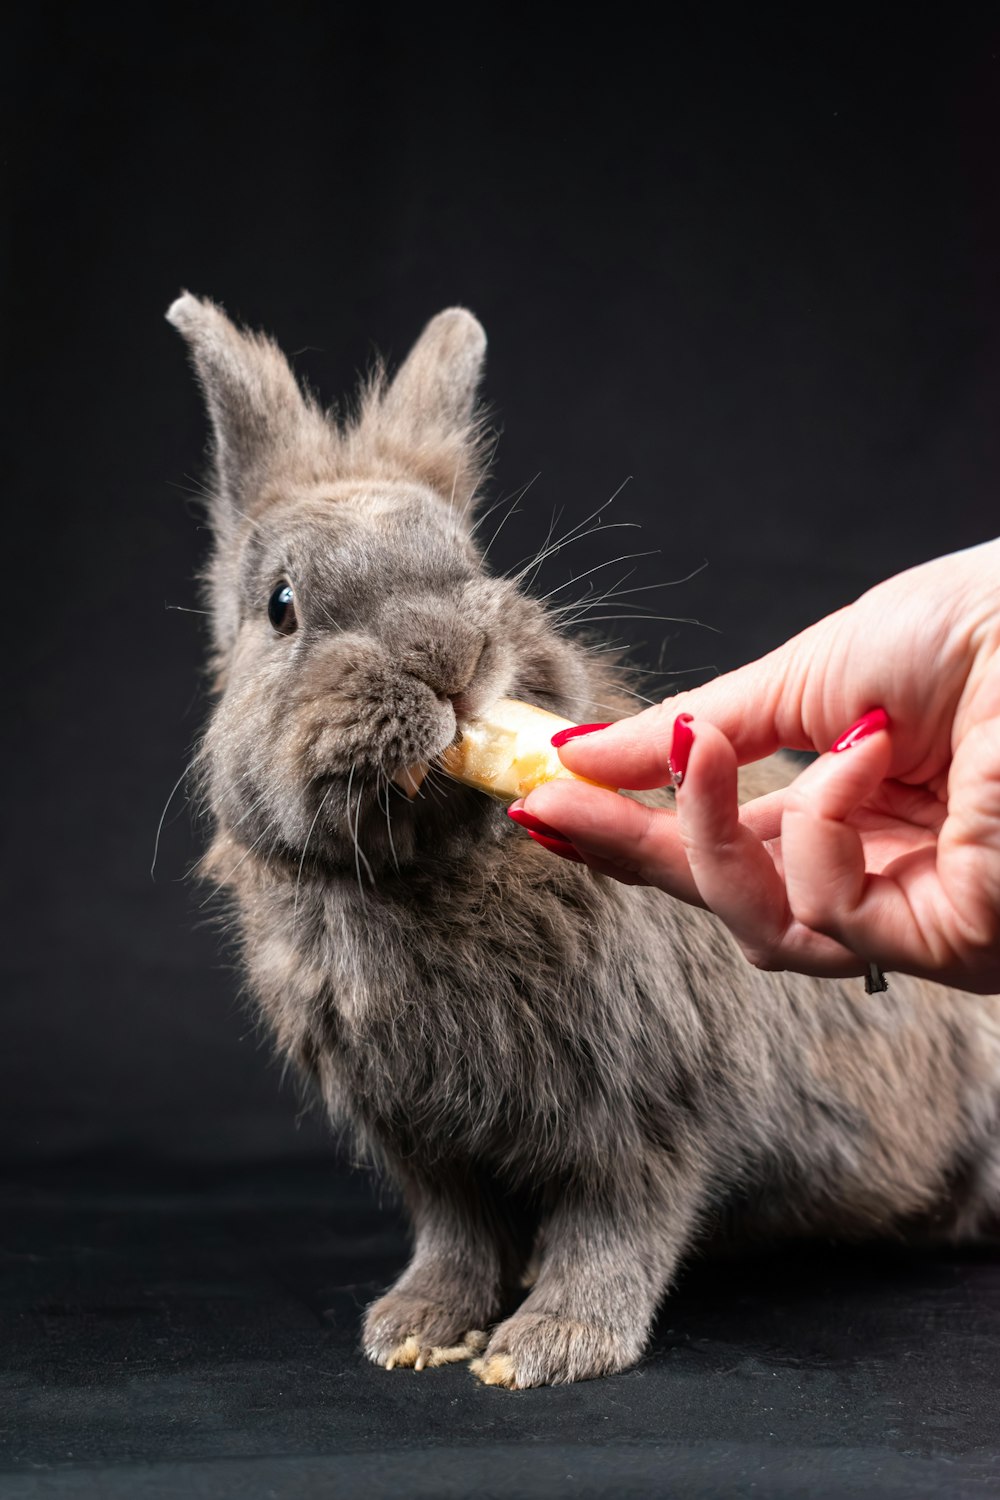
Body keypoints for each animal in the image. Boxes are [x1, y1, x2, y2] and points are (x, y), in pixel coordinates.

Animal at [167, 295, 995, 1392]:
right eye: (282, 607)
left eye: (471, 565)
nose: (445, 656)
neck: (427, 870)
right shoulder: (423, 1140)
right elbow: (456, 1232)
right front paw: (415, 1327)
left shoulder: (650, 1107)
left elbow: (615, 1225)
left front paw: (549, 1345)